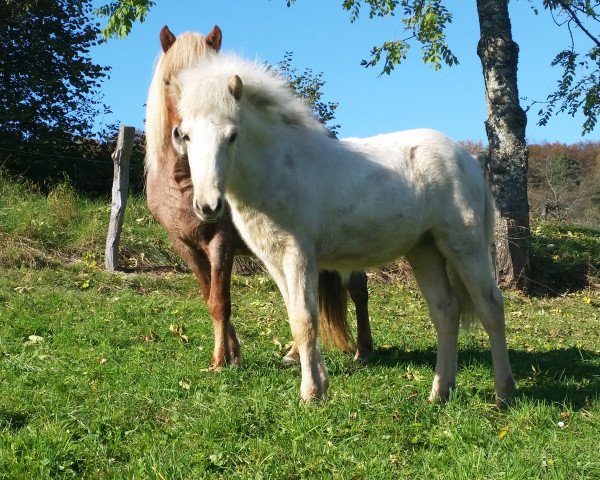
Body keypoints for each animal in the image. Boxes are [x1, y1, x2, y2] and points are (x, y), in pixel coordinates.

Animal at [145, 26, 372, 370]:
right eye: (170, 82)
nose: (181, 137)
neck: (184, 185)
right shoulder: (184, 245)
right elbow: (209, 296)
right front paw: (231, 353)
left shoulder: (221, 242)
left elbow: (220, 302)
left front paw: (221, 360)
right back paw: (294, 352)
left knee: (358, 288)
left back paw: (363, 349)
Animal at [172, 53, 516, 404]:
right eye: (185, 135)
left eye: (232, 136)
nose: (208, 206)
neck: (279, 168)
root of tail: (469, 159)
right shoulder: (274, 261)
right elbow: (296, 318)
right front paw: (320, 386)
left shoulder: (299, 256)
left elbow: (306, 320)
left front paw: (311, 393)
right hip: (425, 249)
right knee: (445, 310)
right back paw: (440, 392)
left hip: (465, 246)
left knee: (490, 307)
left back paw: (504, 393)